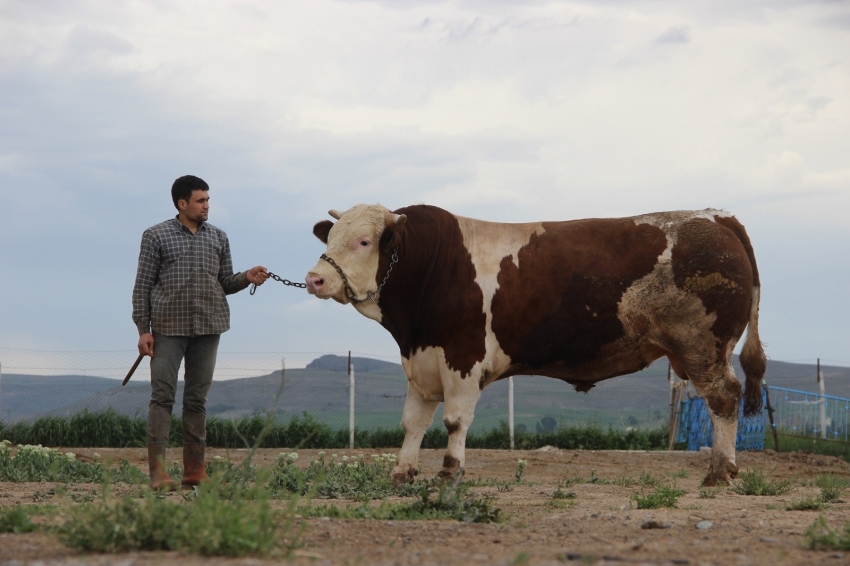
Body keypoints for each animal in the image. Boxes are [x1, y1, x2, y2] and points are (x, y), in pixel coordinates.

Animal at [304, 205, 760, 488]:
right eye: (331, 238)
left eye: (364, 241)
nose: (314, 278)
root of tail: (715, 217)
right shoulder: (424, 361)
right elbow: (413, 422)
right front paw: (402, 472)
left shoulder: (462, 356)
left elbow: (454, 421)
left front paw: (450, 471)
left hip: (703, 346)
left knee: (724, 399)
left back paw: (721, 471)